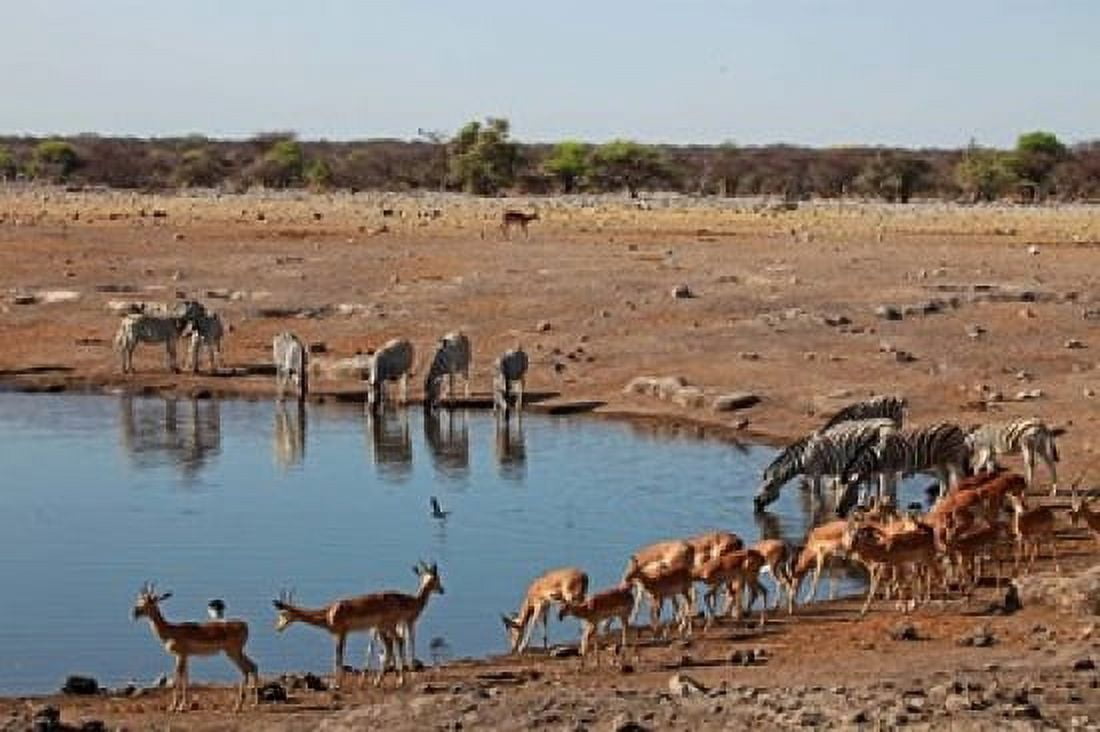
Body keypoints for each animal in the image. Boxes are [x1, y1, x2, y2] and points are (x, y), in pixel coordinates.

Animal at [131, 583, 259, 712]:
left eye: (150, 602)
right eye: (140, 600)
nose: (135, 612)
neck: (171, 630)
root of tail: (244, 624)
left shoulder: (180, 655)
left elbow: (177, 678)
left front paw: (174, 707)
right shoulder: (185, 656)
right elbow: (186, 678)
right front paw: (183, 706)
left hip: (233, 651)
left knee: (246, 669)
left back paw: (238, 706)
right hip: (237, 651)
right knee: (253, 666)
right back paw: (253, 704)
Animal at [273, 562, 444, 688]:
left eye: (283, 614)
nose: (277, 628)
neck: (329, 613)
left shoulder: (341, 633)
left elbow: (338, 656)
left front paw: (336, 684)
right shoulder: (342, 634)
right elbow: (339, 656)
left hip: (388, 627)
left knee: (398, 643)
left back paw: (395, 681)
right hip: (383, 629)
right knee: (391, 647)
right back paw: (380, 682)